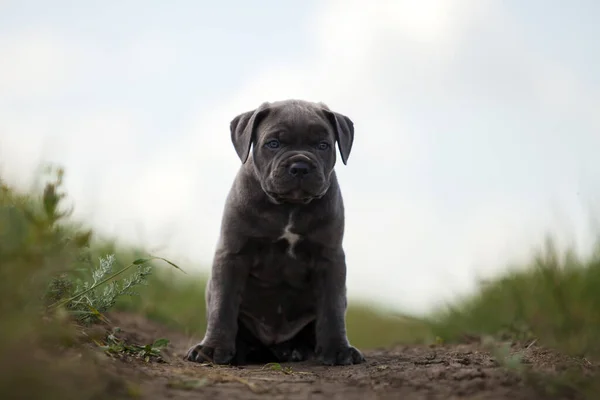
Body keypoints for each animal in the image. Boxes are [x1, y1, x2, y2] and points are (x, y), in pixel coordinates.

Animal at [186, 97, 366, 366]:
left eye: (323, 145)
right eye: (273, 143)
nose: (300, 166)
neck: (289, 206)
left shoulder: (330, 258)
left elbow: (332, 308)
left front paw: (338, 349)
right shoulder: (232, 254)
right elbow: (223, 304)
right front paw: (212, 348)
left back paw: (295, 350)